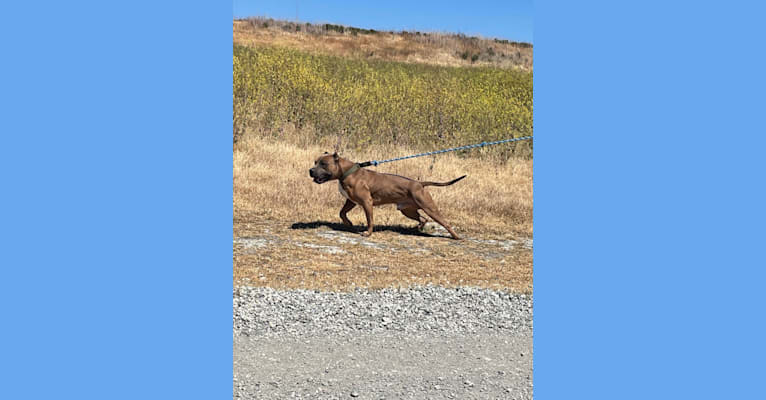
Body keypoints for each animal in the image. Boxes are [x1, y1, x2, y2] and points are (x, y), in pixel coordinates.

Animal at [308, 152, 464, 239]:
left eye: (323, 163)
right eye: (315, 162)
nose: (310, 170)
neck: (347, 172)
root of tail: (419, 184)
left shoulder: (367, 202)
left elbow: (370, 220)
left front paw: (367, 233)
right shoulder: (350, 201)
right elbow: (341, 213)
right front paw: (349, 224)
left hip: (429, 207)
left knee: (445, 223)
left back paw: (456, 237)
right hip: (407, 210)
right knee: (423, 219)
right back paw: (418, 228)